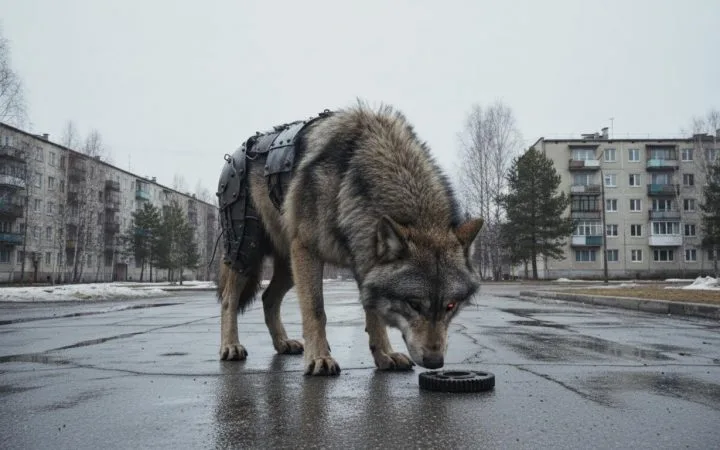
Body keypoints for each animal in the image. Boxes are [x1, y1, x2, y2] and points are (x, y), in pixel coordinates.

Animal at [216, 103, 483, 376]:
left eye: (450, 306)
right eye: (414, 304)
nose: (435, 362)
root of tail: (234, 154)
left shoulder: (363, 260)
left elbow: (374, 313)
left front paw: (384, 355)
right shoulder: (308, 250)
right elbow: (316, 311)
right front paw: (320, 358)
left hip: (289, 266)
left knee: (268, 298)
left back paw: (283, 343)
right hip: (246, 252)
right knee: (228, 299)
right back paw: (231, 346)